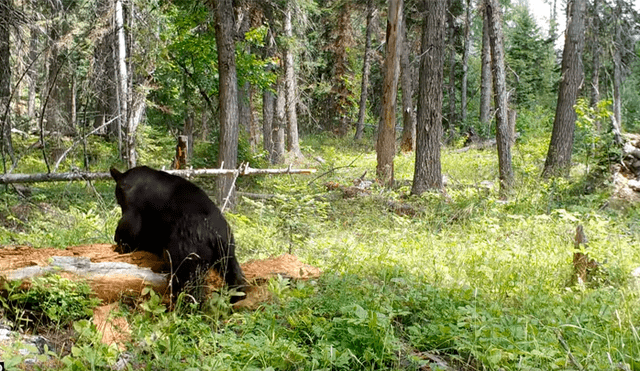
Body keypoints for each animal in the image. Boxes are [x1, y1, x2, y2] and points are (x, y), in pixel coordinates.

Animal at [110, 167, 245, 300]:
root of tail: (214, 234)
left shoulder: (137, 205)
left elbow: (131, 227)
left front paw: (121, 244)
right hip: (227, 248)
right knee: (232, 271)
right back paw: (238, 295)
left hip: (187, 247)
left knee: (187, 278)